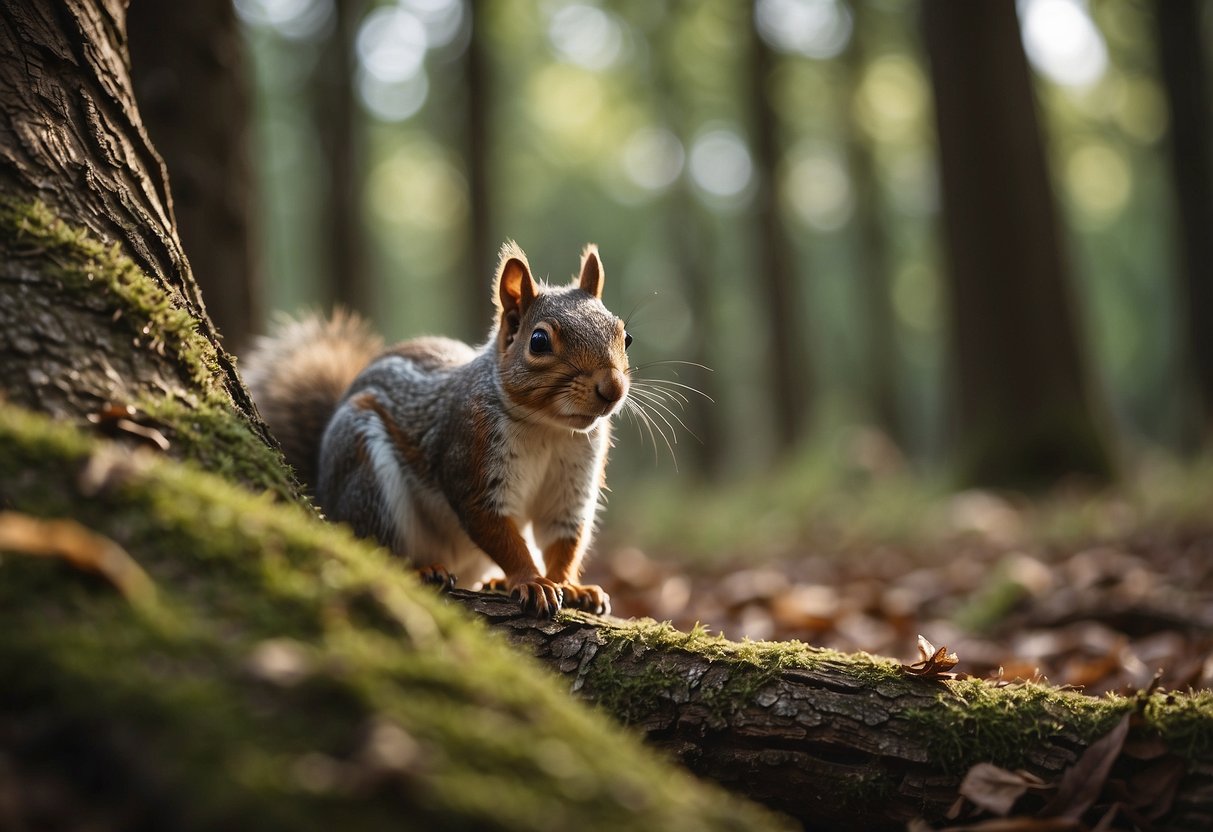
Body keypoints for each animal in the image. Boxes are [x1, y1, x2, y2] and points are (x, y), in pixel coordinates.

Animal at [241, 241, 630, 618]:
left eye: (624, 336)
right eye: (538, 341)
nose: (612, 389)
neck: (549, 429)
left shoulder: (573, 478)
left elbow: (564, 537)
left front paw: (569, 585)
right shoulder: (470, 455)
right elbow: (497, 532)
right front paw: (531, 581)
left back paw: (494, 582)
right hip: (364, 471)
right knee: (376, 542)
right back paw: (422, 569)